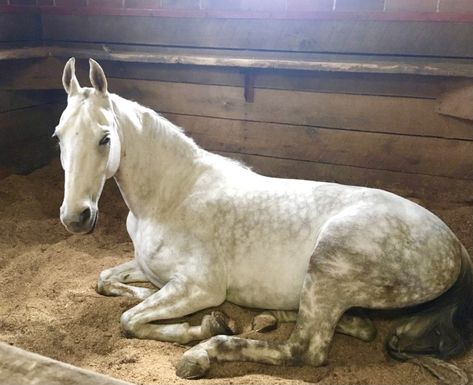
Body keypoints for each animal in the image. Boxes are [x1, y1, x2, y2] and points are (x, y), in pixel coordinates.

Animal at [55, 58, 472, 380]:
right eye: (58, 136)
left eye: (105, 138)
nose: (76, 217)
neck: (171, 197)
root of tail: (455, 246)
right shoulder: (148, 267)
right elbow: (106, 281)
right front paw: (148, 295)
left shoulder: (199, 287)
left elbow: (129, 321)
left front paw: (204, 325)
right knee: (354, 326)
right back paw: (279, 314)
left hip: (327, 268)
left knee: (303, 350)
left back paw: (205, 352)